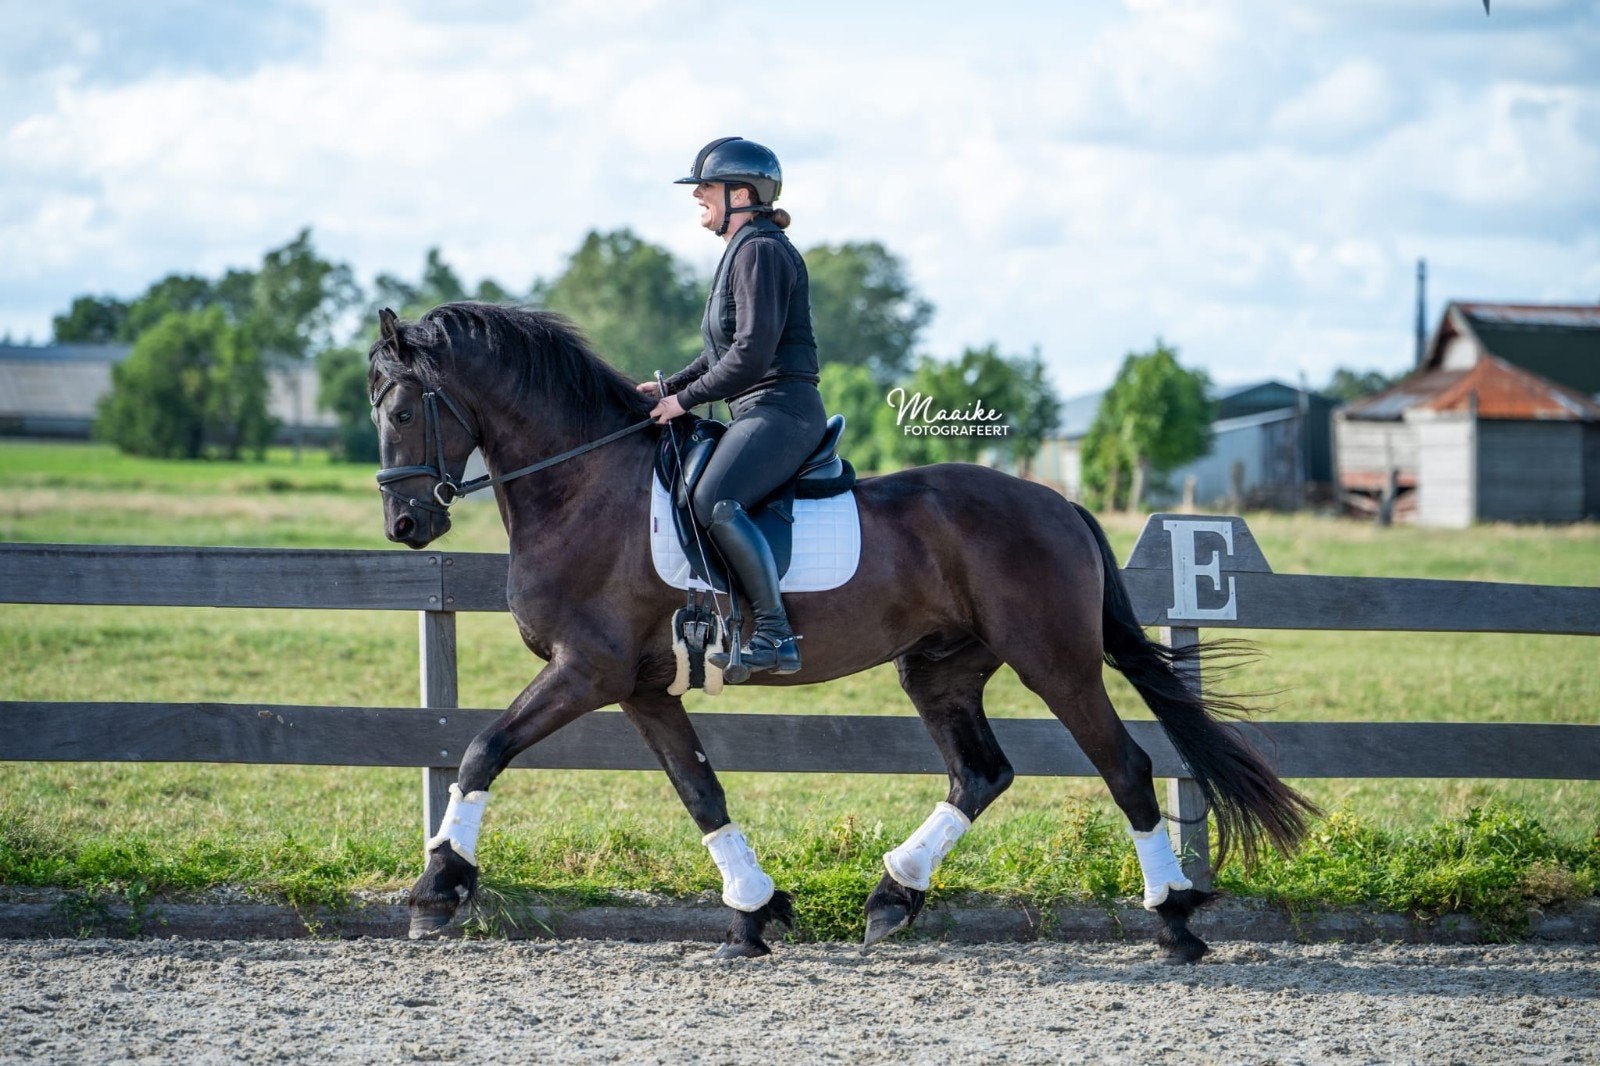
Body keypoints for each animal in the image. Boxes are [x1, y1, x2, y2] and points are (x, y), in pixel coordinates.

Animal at [368, 301, 1316, 963]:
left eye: (404, 411)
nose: (407, 524)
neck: (585, 484)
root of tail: (1059, 504)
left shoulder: (586, 670)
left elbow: (482, 748)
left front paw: (437, 887)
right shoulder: (638, 684)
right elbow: (701, 792)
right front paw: (754, 913)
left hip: (1056, 661)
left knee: (1125, 767)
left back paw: (1174, 922)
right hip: (939, 668)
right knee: (980, 773)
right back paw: (895, 894)